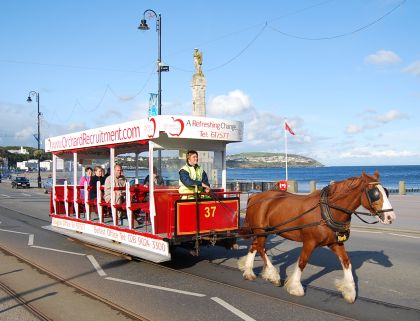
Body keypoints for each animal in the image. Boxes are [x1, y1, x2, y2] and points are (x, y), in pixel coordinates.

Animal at [238, 171, 396, 302]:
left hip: (263, 232)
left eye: (386, 192)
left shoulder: (335, 243)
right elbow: (302, 262)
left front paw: (349, 291)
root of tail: (255, 196)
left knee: (254, 246)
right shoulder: (309, 242)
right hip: (261, 231)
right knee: (261, 248)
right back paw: (273, 275)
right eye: (374, 193)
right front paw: (295, 287)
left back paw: (248, 271)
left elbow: (346, 262)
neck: (327, 210)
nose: (391, 217)